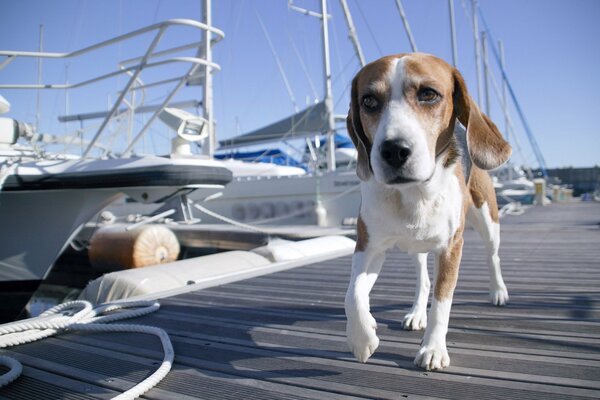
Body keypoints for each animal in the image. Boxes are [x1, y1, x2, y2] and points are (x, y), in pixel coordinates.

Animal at [342, 53, 510, 372]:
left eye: (428, 94)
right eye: (368, 101)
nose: (394, 150)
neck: (413, 193)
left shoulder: (451, 248)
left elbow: (442, 303)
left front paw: (432, 348)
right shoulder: (368, 246)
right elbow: (352, 294)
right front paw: (362, 338)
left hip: (488, 221)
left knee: (493, 256)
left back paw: (498, 291)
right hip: (415, 247)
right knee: (423, 280)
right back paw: (417, 312)